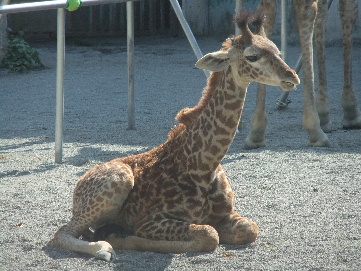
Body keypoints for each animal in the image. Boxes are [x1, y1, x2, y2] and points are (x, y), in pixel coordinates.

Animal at [49, 11, 300, 264]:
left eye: (277, 51)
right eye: (252, 56)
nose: (292, 76)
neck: (204, 165)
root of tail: (79, 185)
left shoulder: (227, 214)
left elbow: (250, 229)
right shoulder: (149, 221)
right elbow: (209, 234)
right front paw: (120, 238)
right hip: (117, 182)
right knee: (61, 232)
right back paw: (104, 247)